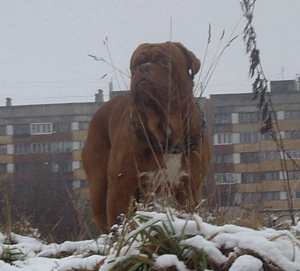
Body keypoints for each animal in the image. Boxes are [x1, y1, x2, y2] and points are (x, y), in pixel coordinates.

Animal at [81, 41, 210, 233]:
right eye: (135, 65)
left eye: (165, 61)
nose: (144, 68)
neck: (165, 129)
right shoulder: (121, 188)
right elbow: (118, 220)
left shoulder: (189, 188)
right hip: (99, 187)